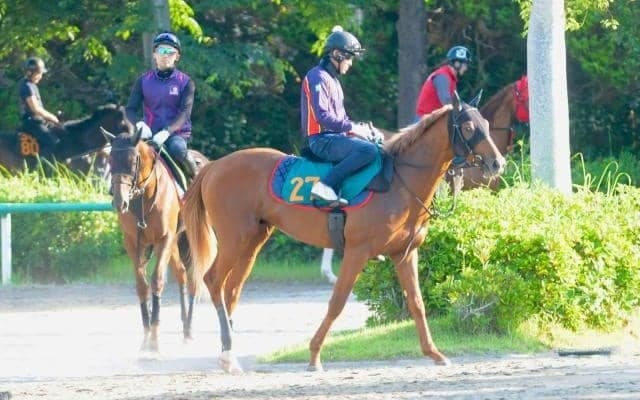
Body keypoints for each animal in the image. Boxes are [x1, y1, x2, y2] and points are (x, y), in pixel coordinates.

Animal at [105, 125, 208, 352]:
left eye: (132, 161)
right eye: (110, 161)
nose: (119, 202)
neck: (142, 197)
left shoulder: (164, 240)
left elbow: (157, 281)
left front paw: (154, 340)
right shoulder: (133, 244)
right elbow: (142, 286)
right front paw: (146, 338)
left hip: (188, 239)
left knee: (193, 279)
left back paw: (190, 330)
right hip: (175, 244)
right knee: (181, 274)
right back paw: (185, 329)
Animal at [182, 94, 506, 373]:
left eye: (487, 125)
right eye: (468, 127)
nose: (497, 163)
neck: (397, 181)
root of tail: (214, 166)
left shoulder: (404, 253)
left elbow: (416, 302)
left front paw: (434, 352)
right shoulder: (356, 252)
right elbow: (337, 302)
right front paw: (314, 355)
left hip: (252, 241)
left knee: (231, 290)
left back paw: (228, 353)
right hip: (234, 238)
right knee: (213, 281)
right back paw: (227, 351)